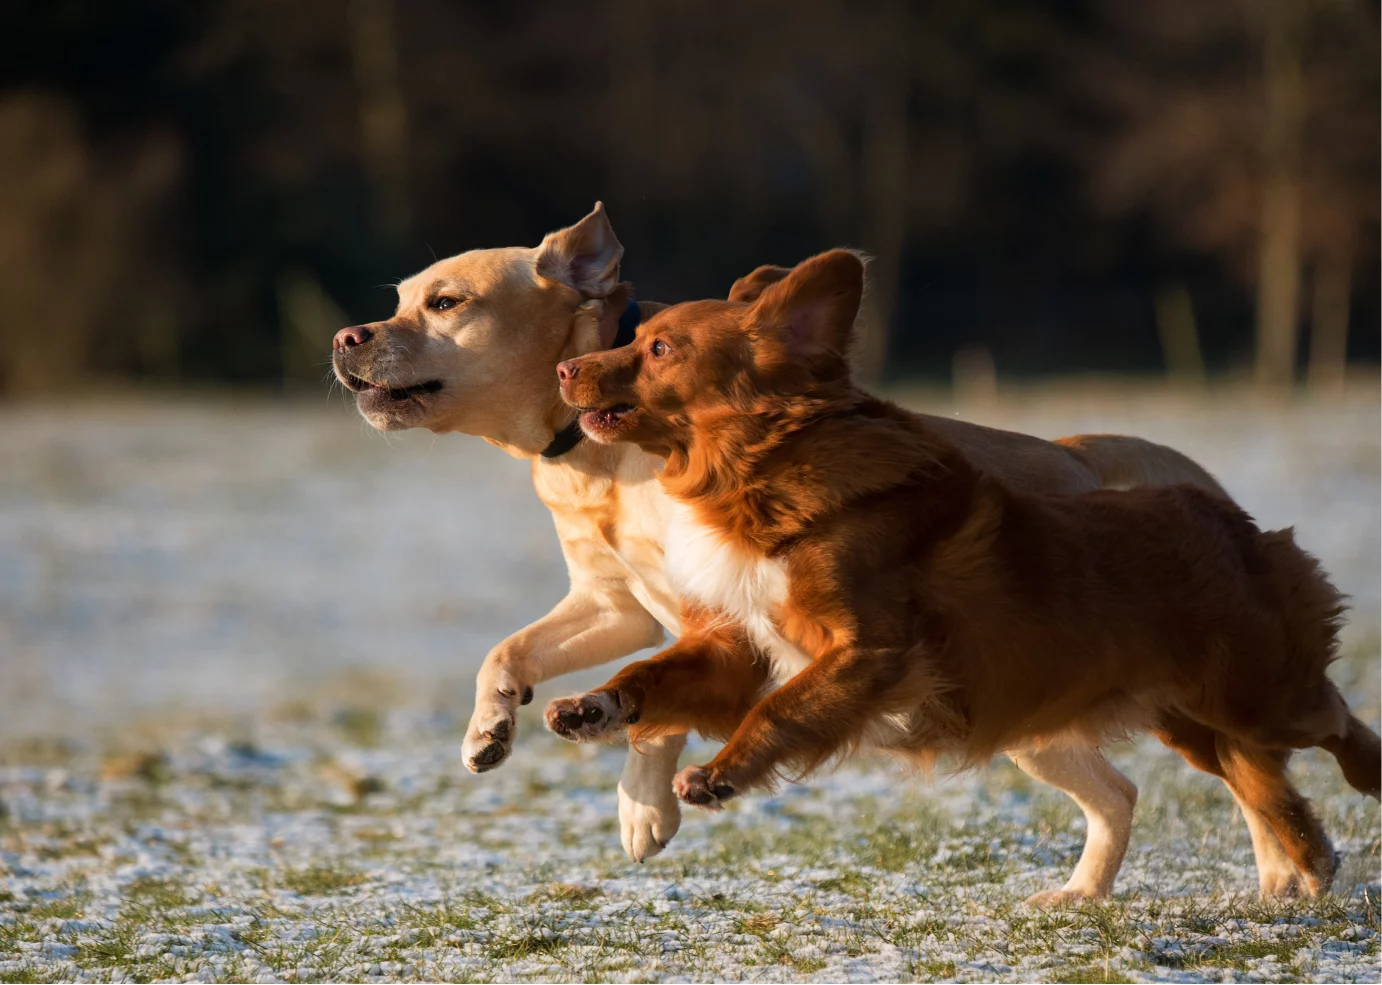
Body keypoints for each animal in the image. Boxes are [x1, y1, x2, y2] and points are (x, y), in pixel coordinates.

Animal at [544, 247, 1376, 900]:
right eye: (634, 339)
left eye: (659, 348)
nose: (563, 367)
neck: (759, 473)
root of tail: (1225, 514)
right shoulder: (742, 647)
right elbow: (654, 672)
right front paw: (591, 705)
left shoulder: (870, 649)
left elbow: (782, 710)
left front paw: (719, 773)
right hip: (1187, 717)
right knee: (1242, 782)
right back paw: (1289, 864)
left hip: (1253, 695)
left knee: (1332, 718)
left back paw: (1360, 785)